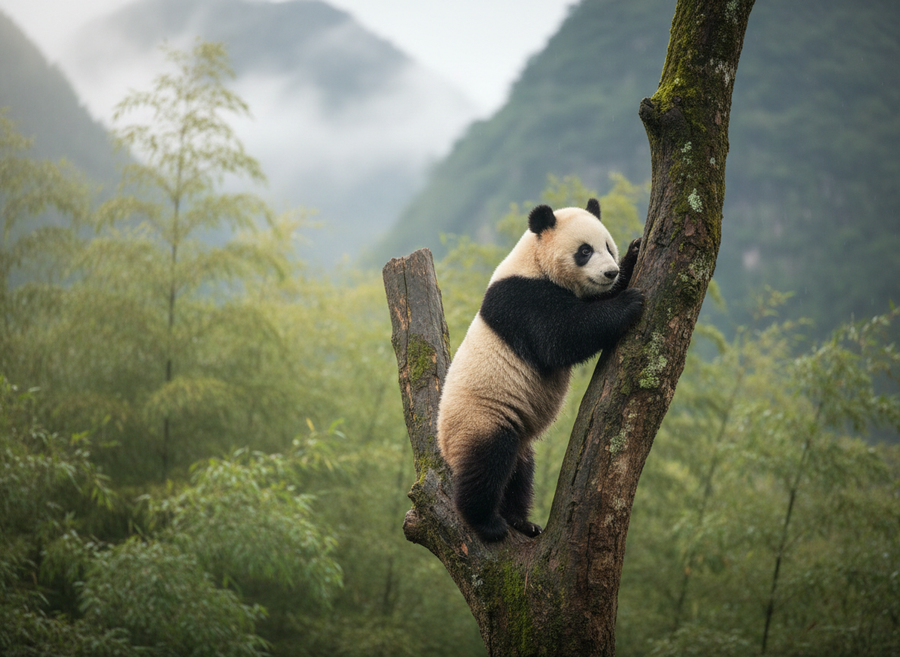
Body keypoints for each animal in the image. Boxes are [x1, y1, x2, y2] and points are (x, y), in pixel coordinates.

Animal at [437, 198, 644, 542]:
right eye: (584, 251)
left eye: (608, 247)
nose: (610, 272)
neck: (533, 262)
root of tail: (443, 446)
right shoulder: (522, 299)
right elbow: (560, 337)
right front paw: (630, 301)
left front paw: (635, 253)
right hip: (481, 417)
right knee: (488, 463)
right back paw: (486, 522)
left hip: (519, 435)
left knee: (520, 473)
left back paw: (521, 521)